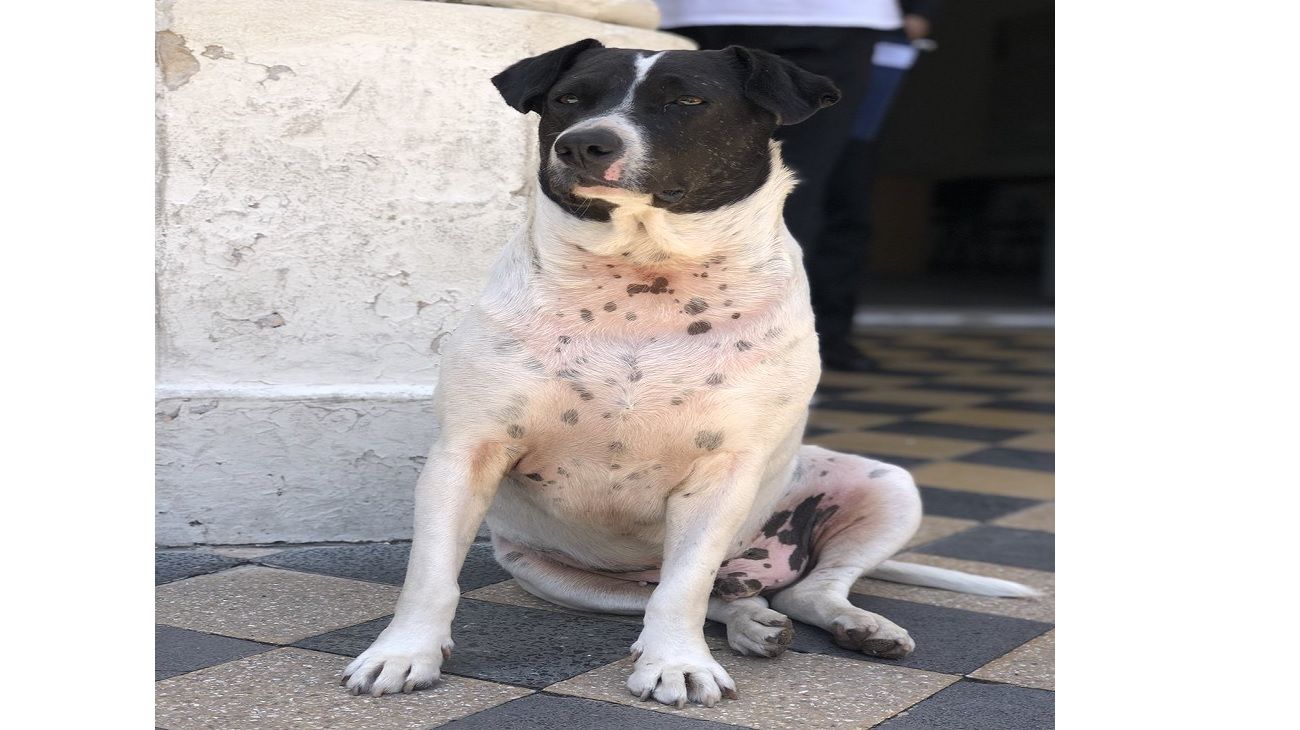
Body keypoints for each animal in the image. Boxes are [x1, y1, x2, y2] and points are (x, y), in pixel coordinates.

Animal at [345, 38, 1034, 706]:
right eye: (569, 99)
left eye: (687, 102)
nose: (584, 143)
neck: (642, 277)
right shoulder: (466, 452)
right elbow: (431, 574)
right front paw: (403, 653)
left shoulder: (722, 472)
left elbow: (685, 588)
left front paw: (676, 664)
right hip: (562, 579)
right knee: (724, 598)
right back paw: (754, 621)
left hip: (888, 486)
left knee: (793, 588)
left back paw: (856, 624)